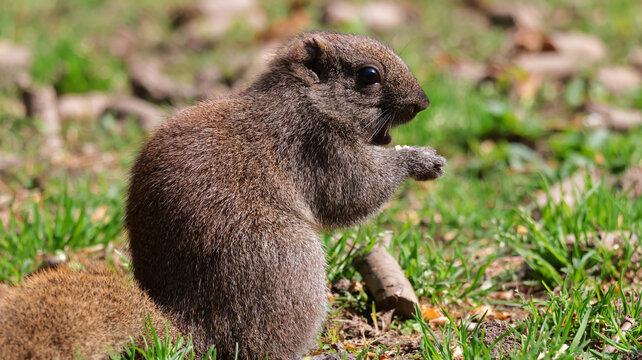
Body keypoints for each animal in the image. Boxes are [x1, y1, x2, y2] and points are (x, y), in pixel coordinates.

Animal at [0, 31, 442, 360]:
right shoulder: (318, 148)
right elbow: (354, 191)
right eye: (369, 74)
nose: (423, 104)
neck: (303, 100)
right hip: (290, 264)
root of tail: (192, 327)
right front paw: (420, 160)